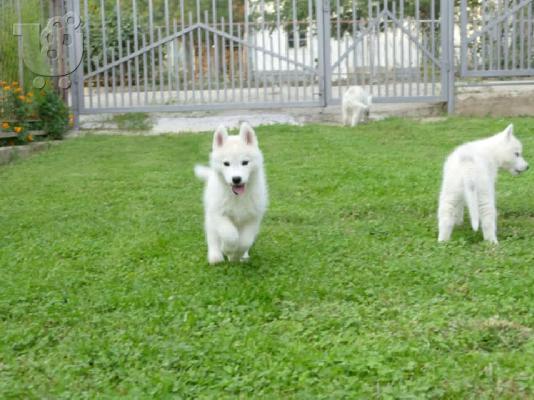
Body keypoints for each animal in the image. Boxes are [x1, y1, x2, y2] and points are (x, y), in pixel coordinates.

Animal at [196, 123, 270, 264]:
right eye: (226, 163)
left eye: (245, 162)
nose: (236, 179)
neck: (237, 197)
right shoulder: (219, 214)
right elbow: (230, 235)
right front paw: (228, 251)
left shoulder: (253, 217)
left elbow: (245, 241)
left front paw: (236, 255)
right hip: (210, 217)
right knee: (213, 236)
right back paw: (215, 256)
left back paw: (243, 256)